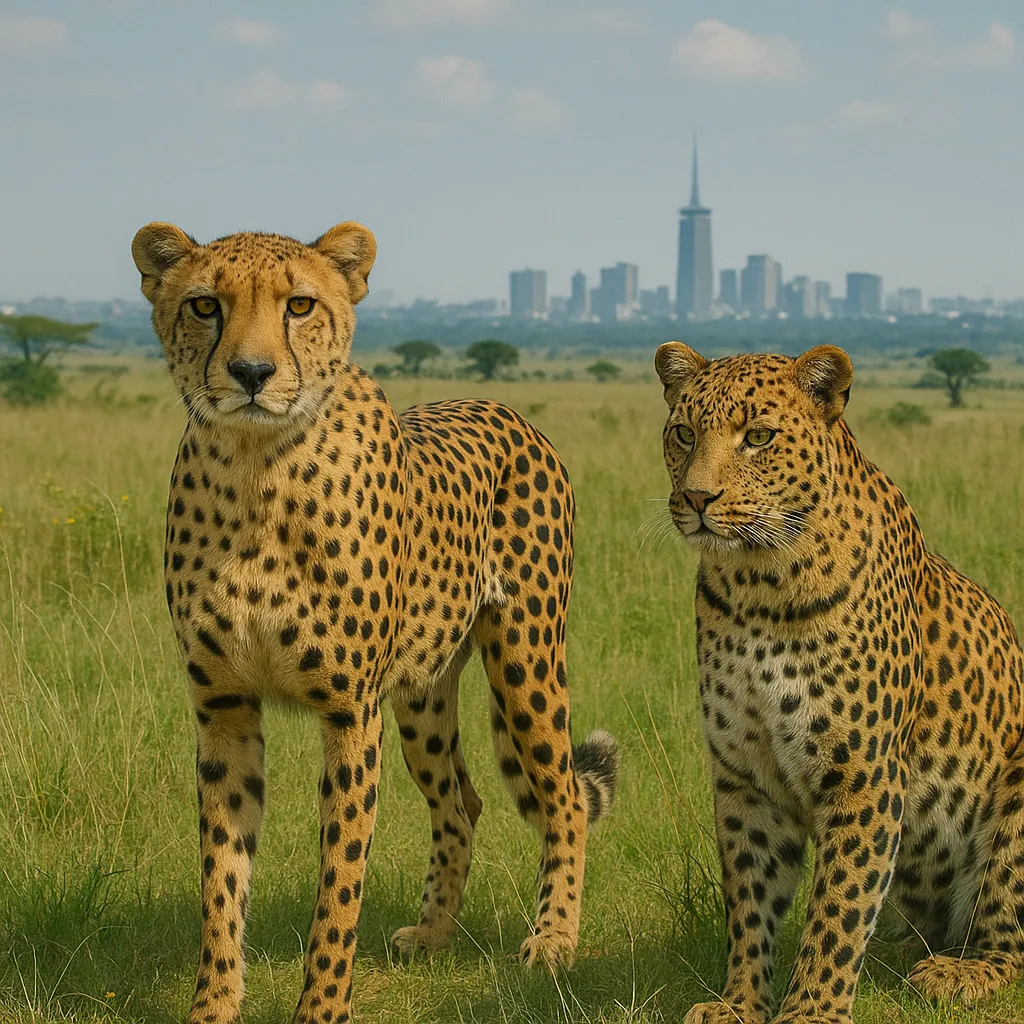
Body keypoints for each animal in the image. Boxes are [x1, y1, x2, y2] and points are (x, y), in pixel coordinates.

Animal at [130, 219, 619, 1024]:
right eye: (205, 305)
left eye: (299, 304)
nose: (251, 372)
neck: (256, 469)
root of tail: (504, 407)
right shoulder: (223, 706)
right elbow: (221, 879)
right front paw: (214, 1005)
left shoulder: (350, 711)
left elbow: (340, 881)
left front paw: (323, 1009)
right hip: (422, 693)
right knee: (461, 801)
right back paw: (434, 930)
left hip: (526, 659)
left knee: (565, 800)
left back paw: (553, 940)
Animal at [654, 341, 1024, 1023]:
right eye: (685, 433)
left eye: (759, 436)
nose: (696, 498)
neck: (757, 585)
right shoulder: (745, 775)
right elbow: (750, 900)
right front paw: (738, 1003)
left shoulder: (862, 776)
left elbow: (838, 907)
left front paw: (811, 1012)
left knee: (1006, 938)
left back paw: (955, 972)